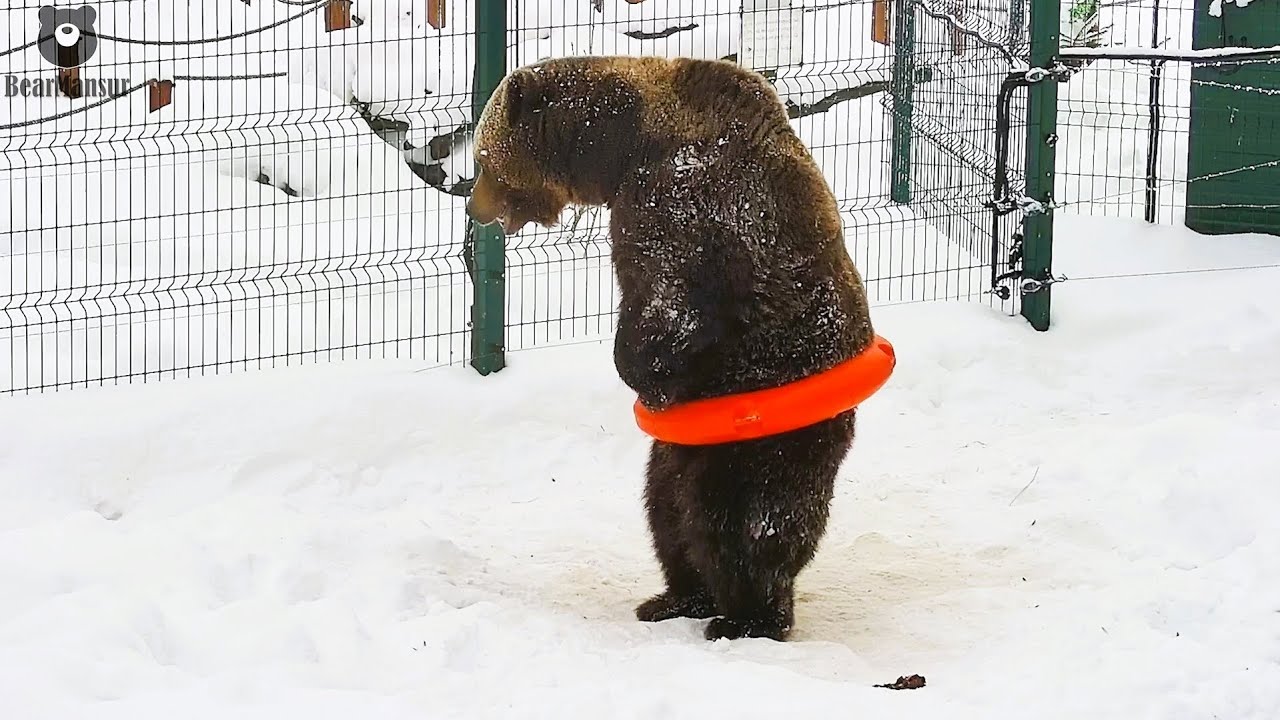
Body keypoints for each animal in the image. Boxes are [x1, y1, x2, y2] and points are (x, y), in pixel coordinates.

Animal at [465, 55, 877, 641]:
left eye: (483, 159)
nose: (473, 207)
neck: (621, 144)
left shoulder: (682, 201)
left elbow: (670, 306)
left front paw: (641, 372)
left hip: (767, 420)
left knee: (744, 520)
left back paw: (747, 616)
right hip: (684, 450)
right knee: (667, 513)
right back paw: (676, 596)